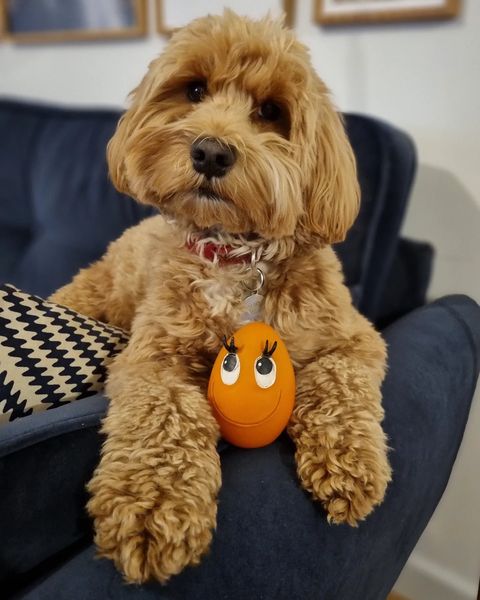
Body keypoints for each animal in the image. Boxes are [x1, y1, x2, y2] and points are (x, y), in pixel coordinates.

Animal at [50, 11, 392, 584]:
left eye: (270, 111)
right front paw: (154, 507)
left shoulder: (354, 338)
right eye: (194, 90)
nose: (210, 151)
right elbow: (165, 413)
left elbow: (339, 381)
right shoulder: (151, 359)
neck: (236, 259)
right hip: (96, 290)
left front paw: (351, 461)